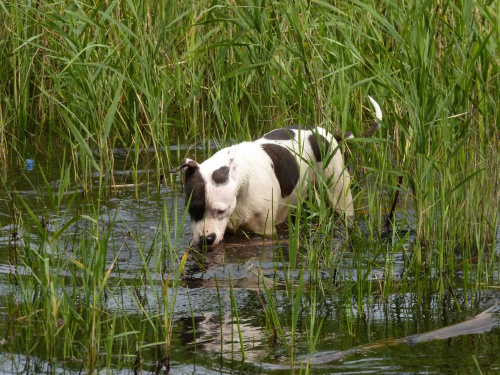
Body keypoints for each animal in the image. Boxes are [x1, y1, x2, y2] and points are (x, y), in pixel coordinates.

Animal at [172, 97, 382, 247]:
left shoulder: (264, 232)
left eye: (220, 210)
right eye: (193, 209)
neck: (241, 183)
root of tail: (328, 133)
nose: (206, 240)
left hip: (339, 193)